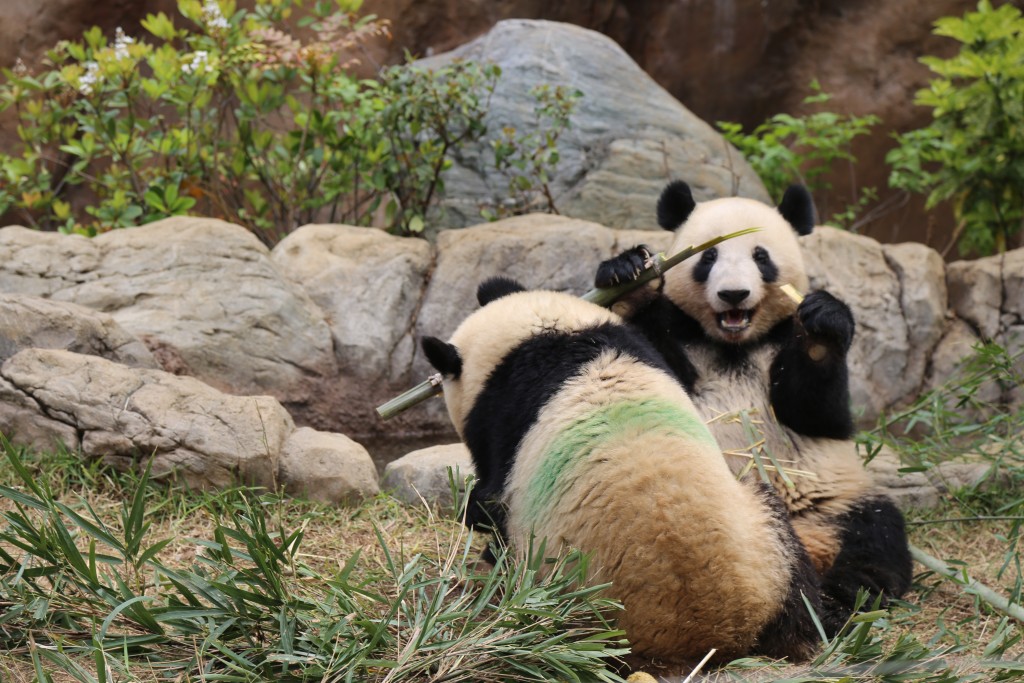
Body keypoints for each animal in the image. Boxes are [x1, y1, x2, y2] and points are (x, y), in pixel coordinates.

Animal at [419, 276, 827, 663]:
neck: (539, 335)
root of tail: (710, 629)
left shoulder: (501, 418)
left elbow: (491, 503)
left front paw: (479, 523)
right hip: (767, 543)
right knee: (799, 596)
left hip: (566, 594)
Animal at [598, 179, 917, 634]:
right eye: (708, 257)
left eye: (761, 257)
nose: (734, 294)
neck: (735, 344)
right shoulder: (683, 339)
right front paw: (631, 281)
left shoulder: (782, 348)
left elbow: (820, 413)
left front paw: (822, 329)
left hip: (838, 501)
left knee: (875, 537)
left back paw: (838, 601)